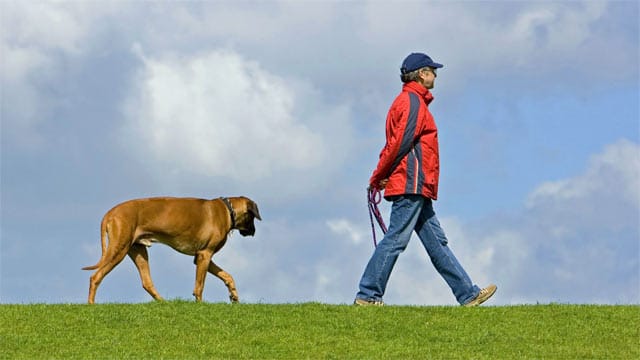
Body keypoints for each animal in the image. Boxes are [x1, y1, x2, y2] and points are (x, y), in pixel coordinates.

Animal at [82, 197, 260, 304]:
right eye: (252, 217)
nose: (254, 232)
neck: (227, 210)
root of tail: (110, 213)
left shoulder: (202, 257)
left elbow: (228, 276)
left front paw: (233, 294)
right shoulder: (205, 255)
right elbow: (199, 286)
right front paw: (200, 305)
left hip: (138, 251)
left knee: (147, 282)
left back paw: (163, 302)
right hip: (118, 250)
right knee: (95, 277)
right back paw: (91, 305)